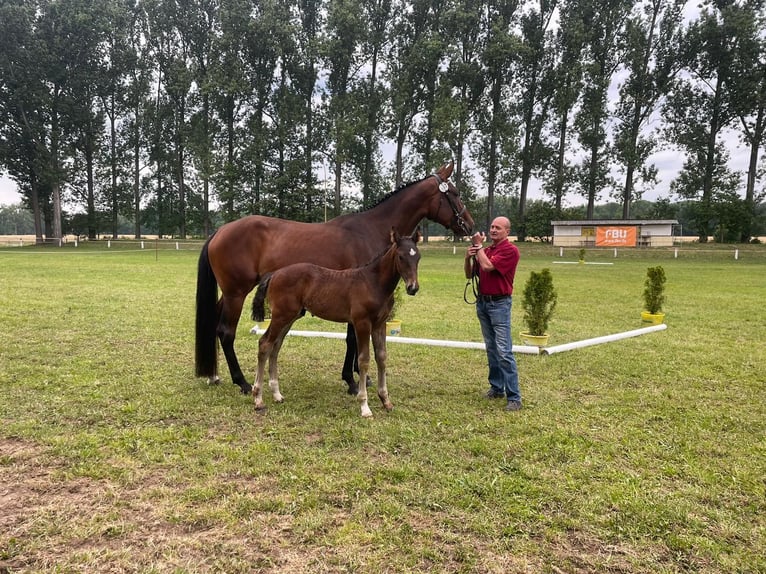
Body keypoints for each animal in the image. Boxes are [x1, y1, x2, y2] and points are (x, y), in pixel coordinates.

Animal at [196, 161, 474, 396]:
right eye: (455, 193)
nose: (470, 226)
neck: (372, 229)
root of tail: (220, 230)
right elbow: (352, 340)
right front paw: (352, 380)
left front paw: (360, 376)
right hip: (236, 294)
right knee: (226, 332)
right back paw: (241, 381)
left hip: (228, 295)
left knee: (214, 325)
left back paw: (214, 375)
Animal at [252, 228, 424, 418]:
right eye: (401, 257)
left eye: (418, 256)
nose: (413, 288)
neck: (373, 282)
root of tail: (274, 274)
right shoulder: (362, 323)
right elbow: (364, 360)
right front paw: (364, 406)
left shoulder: (380, 324)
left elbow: (381, 357)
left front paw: (386, 401)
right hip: (280, 316)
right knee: (265, 344)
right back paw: (258, 399)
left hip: (289, 317)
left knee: (275, 347)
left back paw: (277, 395)